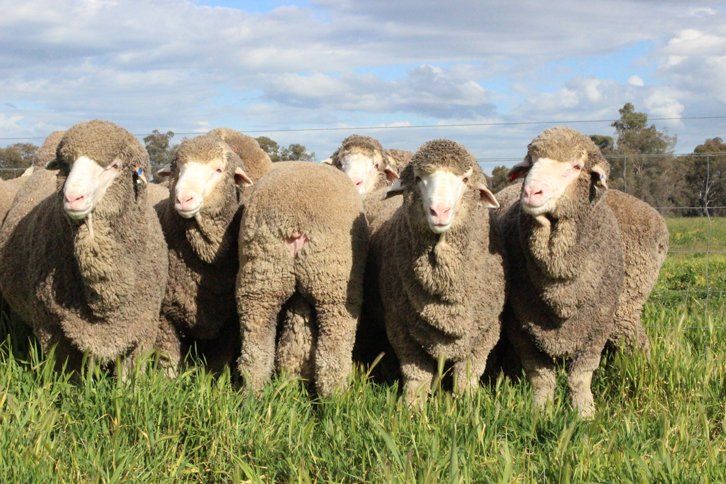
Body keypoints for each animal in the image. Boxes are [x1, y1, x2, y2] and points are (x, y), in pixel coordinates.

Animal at [0, 120, 168, 377]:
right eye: (66, 166)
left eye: (114, 165)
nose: (72, 198)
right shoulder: (52, 327)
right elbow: (66, 377)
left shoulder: (143, 326)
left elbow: (130, 377)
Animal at [153, 134, 254, 372]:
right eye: (177, 168)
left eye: (218, 170)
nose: (183, 199)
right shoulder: (165, 313)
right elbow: (167, 359)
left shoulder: (229, 323)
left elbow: (218, 363)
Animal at [236, 161, 368, 397]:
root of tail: (294, 221)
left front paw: (294, 376)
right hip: (334, 286)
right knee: (332, 354)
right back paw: (334, 399)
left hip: (261, 277)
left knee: (256, 349)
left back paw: (253, 395)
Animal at [370, 139, 504, 406]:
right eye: (418, 178)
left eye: (465, 179)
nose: (439, 211)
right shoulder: (402, 329)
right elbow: (416, 376)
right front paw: (411, 407)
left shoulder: (484, 333)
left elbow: (468, 375)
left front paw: (467, 404)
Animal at [495, 126, 667, 417]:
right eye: (531, 163)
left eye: (576, 167)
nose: (531, 192)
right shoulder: (521, 325)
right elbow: (541, 377)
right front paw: (540, 411)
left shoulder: (596, 326)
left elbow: (580, 377)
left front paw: (585, 413)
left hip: (625, 307)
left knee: (637, 343)